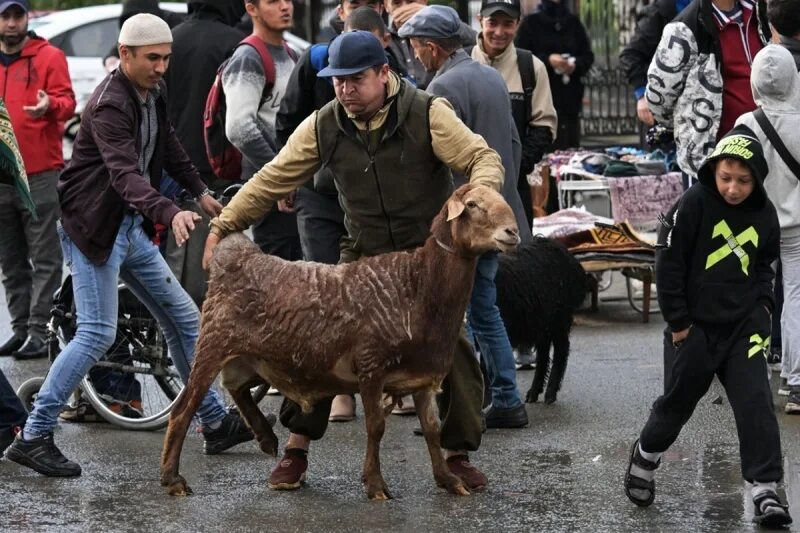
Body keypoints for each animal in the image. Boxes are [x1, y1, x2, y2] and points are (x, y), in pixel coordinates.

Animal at [159, 183, 520, 498]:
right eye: (472, 205)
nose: (512, 233)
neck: (417, 287)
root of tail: (234, 251)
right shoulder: (372, 366)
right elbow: (376, 427)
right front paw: (376, 485)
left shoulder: (422, 377)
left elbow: (432, 430)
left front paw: (449, 480)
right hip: (213, 344)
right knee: (184, 410)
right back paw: (173, 479)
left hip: (253, 357)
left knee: (236, 387)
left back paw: (265, 437)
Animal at [496, 237, 584, 404]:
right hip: (542, 323)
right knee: (543, 353)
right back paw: (533, 393)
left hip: (559, 318)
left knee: (561, 349)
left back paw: (549, 394)